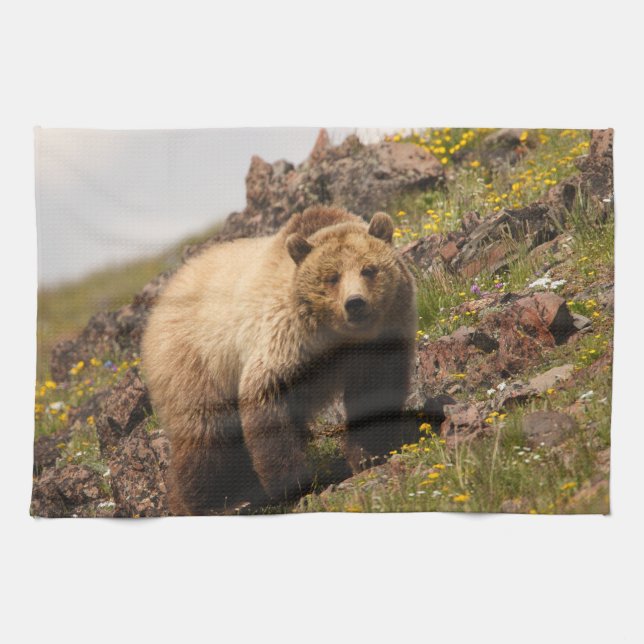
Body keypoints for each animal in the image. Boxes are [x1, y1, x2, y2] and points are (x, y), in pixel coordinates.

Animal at [141, 205, 418, 514]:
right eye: (332, 277)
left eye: (368, 269)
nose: (355, 303)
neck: (338, 337)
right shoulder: (284, 341)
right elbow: (267, 401)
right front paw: (295, 484)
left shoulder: (377, 346)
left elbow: (375, 394)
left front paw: (370, 454)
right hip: (195, 362)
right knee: (205, 433)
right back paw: (206, 503)